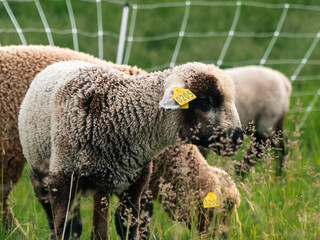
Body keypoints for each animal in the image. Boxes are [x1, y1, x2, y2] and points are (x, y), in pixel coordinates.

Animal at [18, 59, 242, 238]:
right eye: (205, 101)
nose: (238, 137)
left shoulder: (135, 187)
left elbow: (128, 227)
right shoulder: (64, 180)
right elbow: (67, 229)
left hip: (102, 183)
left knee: (99, 225)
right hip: (40, 172)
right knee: (52, 218)